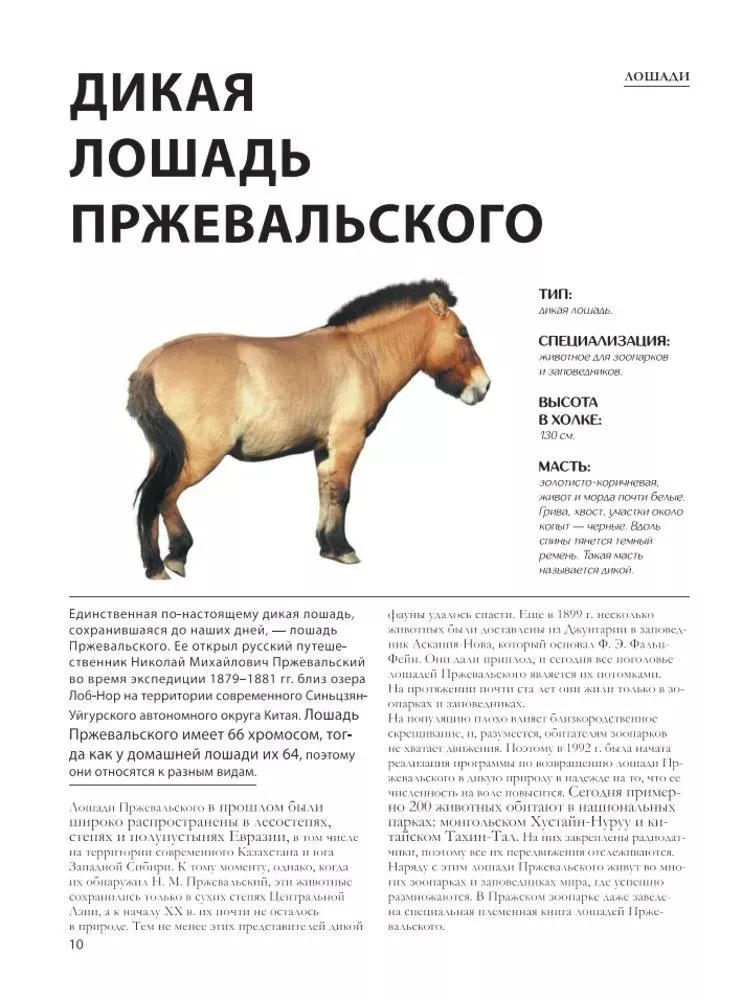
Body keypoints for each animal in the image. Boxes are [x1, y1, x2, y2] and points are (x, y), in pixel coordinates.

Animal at [127, 279, 491, 579]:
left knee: (150, 500)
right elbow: (342, 493)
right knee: (165, 497)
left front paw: (327, 547)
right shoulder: (348, 442)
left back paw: (154, 566)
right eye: (463, 332)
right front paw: (343, 549)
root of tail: (152, 363)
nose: (483, 386)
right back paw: (176, 557)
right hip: (198, 455)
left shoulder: (324, 449)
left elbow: (324, 491)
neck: (363, 355)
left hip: (166, 453)